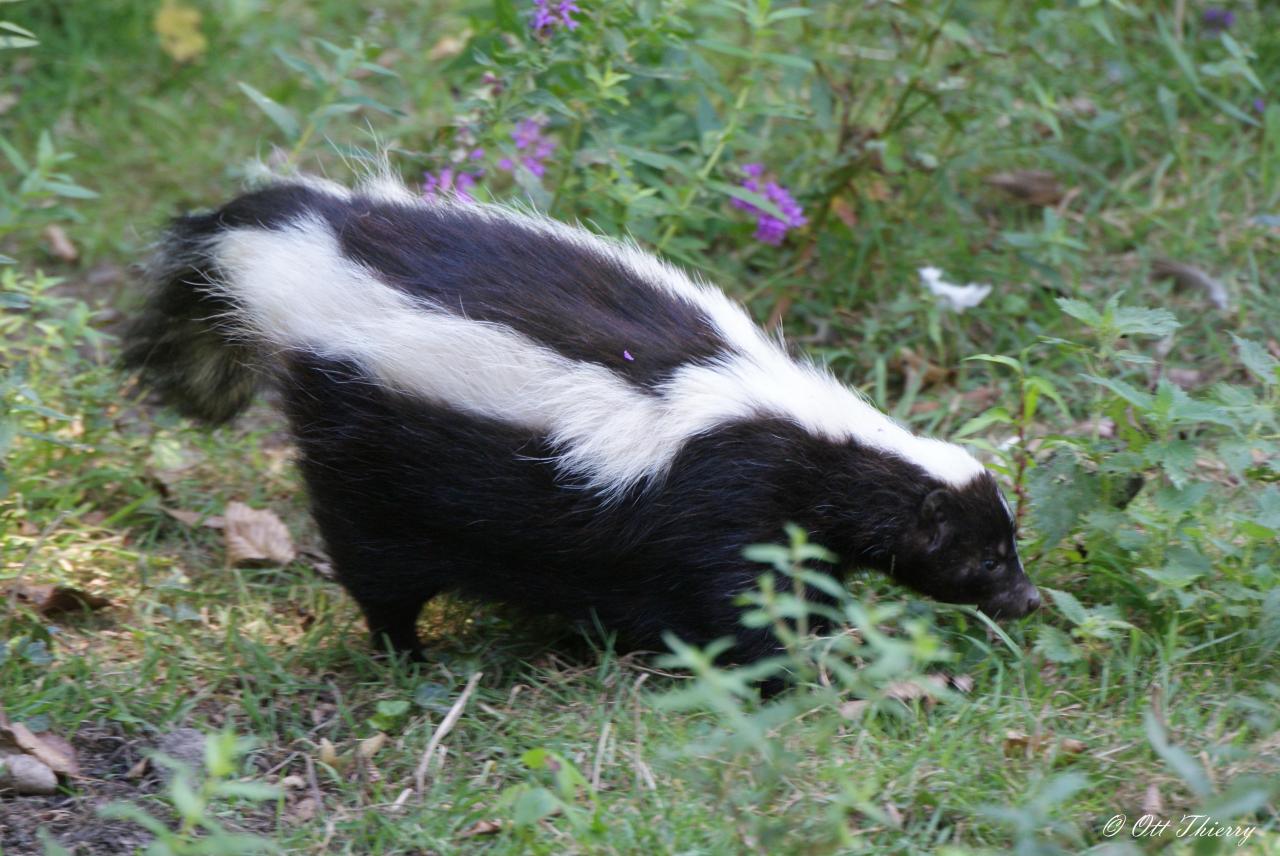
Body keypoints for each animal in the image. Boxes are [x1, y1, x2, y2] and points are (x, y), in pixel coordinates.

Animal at [122, 176, 1039, 665]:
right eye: (985, 557)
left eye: (1007, 546)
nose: (1028, 598)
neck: (805, 434)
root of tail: (314, 242)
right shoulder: (717, 502)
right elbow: (733, 602)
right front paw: (779, 665)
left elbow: (800, 577)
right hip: (364, 456)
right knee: (376, 567)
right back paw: (407, 654)